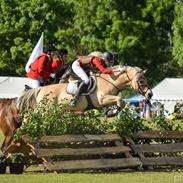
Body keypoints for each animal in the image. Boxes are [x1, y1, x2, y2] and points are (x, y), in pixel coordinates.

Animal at [0, 65, 152, 152]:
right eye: (141, 81)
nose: (150, 94)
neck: (111, 81)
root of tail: (41, 90)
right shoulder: (102, 99)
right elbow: (121, 101)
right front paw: (112, 112)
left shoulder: (105, 102)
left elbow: (121, 103)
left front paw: (110, 112)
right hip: (43, 111)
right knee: (27, 121)